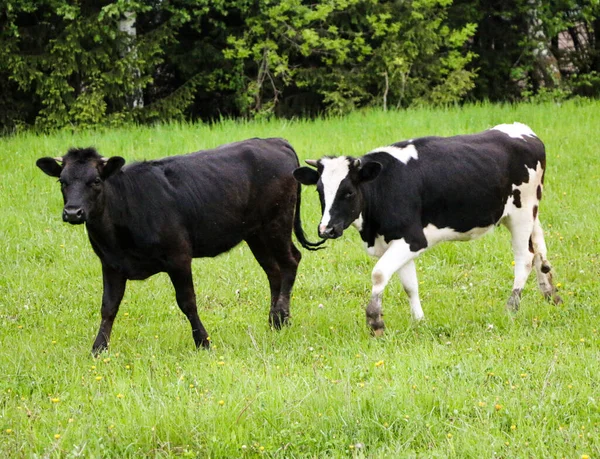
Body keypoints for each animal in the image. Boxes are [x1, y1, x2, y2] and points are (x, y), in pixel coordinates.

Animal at [36, 138, 324, 354]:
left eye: (96, 181)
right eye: (62, 181)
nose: (73, 212)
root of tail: (274, 141)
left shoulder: (179, 257)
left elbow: (187, 302)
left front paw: (203, 342)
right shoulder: (111, 263)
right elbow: (108, 307)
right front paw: (99, 348)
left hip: (277, 223)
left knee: (290, 261)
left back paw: (282, 316)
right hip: (255, 233)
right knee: (273, 271)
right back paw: (275, 320)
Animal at [296, 124, 564, 336]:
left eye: (349, 192)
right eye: (320, 191)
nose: (326, 229)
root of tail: (524, 131)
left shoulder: (413, 239)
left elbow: (379, 273)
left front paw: (375, 321)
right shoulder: (396, 241)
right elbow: (409, 285)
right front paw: (419, 321)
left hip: (522, 212)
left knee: (525, 257)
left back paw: (512, 307)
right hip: (527, 213)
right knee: (539, 248)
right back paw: (550, 293)